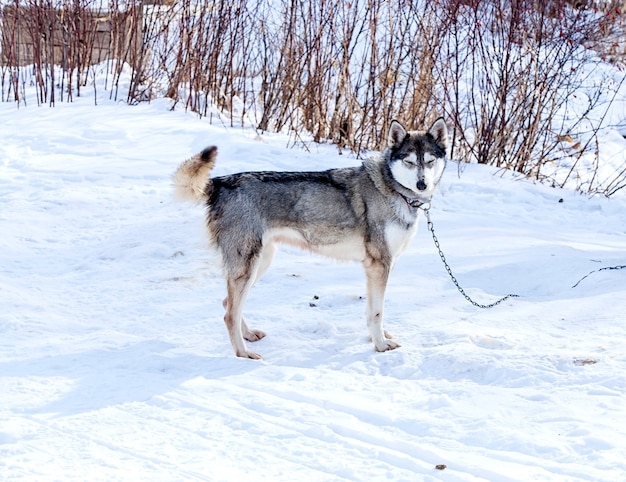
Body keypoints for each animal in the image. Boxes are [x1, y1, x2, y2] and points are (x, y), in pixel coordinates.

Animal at [173, 117, 446, 358]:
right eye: (409, 162)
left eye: (430, 161)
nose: (422, 184)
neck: (393, 189)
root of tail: (220, 183)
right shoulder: (378, 265)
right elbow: (376, 313)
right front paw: (380, 345)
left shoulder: (380, 267)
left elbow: (372, 311)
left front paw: (379, 337)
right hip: (248, 267)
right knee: (229, 313)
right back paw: (244, 353)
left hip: (260, 263)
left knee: (226, 304)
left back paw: (249, 335)